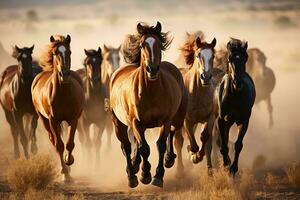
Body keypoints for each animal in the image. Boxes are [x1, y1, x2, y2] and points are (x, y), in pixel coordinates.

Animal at [31, 35, 84, 182]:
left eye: (69, 52)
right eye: (55, 53)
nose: (64, 75)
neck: (63, 93)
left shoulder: (73, 119)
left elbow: (69, 143)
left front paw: (69, 160)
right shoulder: (53, 120)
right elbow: (59, 145)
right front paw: (65, 174)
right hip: (44, 120)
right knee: (53, 140)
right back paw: (63, 170)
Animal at [109, 21, 186, 188]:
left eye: (159, 44)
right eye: (142, 44)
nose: (152, 69)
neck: (151, 91)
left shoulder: (165, 120)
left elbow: (160, 144)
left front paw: (158, 175)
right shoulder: (136, 122)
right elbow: (144, 148)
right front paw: (145, 174)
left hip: (177, 118)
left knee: (173, 132)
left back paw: (168, 159)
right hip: (119, 123)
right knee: (127, 145)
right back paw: (132, 175)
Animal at [175, 34, 217, 173]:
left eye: (213, 56)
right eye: (198, 55)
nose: (206, 77)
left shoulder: (210, 118)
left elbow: (205, 138)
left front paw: (199, 156)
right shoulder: (186, 120)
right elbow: (192, 144)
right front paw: (193, 156)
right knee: (178, 141)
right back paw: (180, 170)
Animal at [213, 37, 255, 175]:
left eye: (245, 58)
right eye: (230, 58)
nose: (238, 83)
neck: (236, 96)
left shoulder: (244, 121)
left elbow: (238, 144)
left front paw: (233, 168)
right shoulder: (221, 120)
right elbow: (223, 144)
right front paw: (226, 163)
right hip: (225, 121)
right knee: (221, 140)